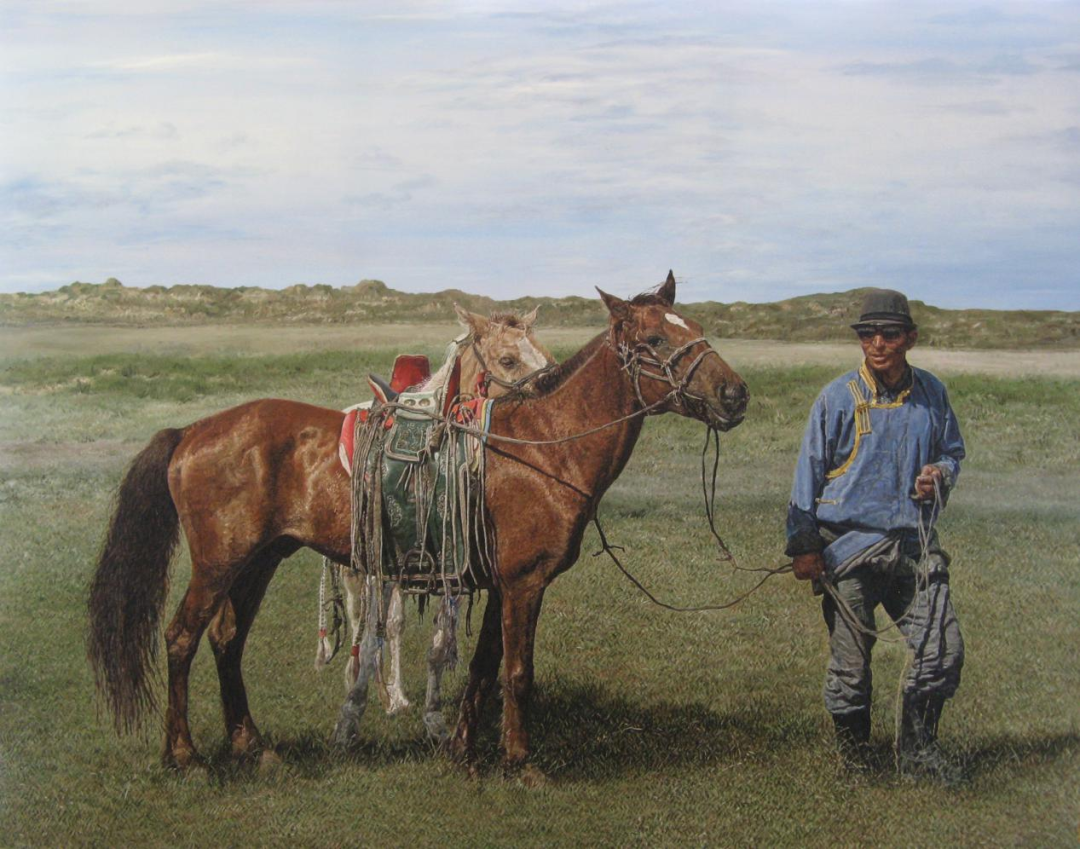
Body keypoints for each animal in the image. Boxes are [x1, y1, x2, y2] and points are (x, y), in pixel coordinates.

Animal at [88, 306, 552, 769]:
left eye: (544, 354)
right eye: (508, 360)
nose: (549, 391)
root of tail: (189, 432)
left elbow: (437, 647)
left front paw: (429, 721)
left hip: (258, 561)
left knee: (227, 638)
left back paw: (250, 742)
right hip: (216, 565)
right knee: (181, 637)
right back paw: (184, 753)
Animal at [434, 274, 747, 777]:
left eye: (698, 327)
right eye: (655, 339)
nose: (735, 394)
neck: (543, 450)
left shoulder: (502, 585)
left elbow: (484, 667)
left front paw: (464, 749)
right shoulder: (524, 584)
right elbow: (518, 673)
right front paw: (519, 761)